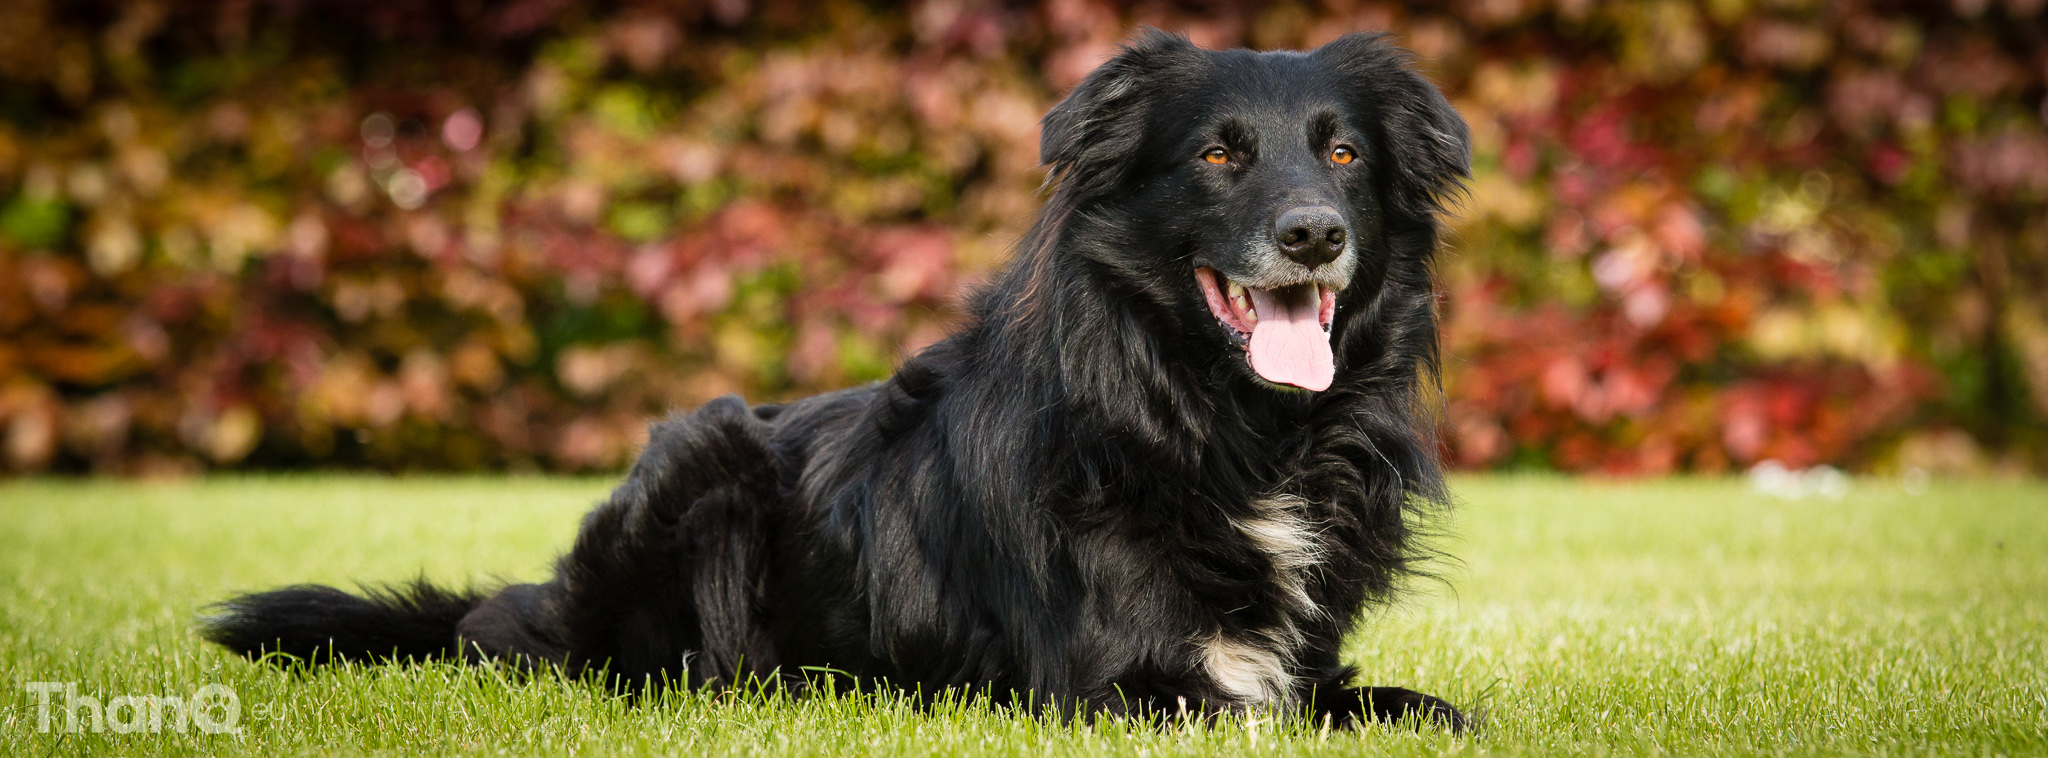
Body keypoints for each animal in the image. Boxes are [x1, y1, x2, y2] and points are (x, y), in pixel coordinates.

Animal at [199, 32, 1466, 729]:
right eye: (1216, 154)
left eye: (1342, 153)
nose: (1312, 235)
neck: (1217, 424)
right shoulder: (1115, 686)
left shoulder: (1303, 663)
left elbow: (1421, 709)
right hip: (700, 460)